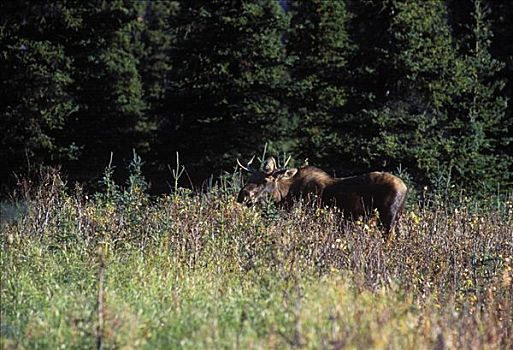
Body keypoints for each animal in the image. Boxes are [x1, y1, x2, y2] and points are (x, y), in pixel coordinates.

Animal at [237, 157, 408, 241]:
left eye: (265, 180)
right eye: (250, 177)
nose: (242, 195)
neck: (285, 196)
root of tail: (405, 188)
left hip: (389, 220)